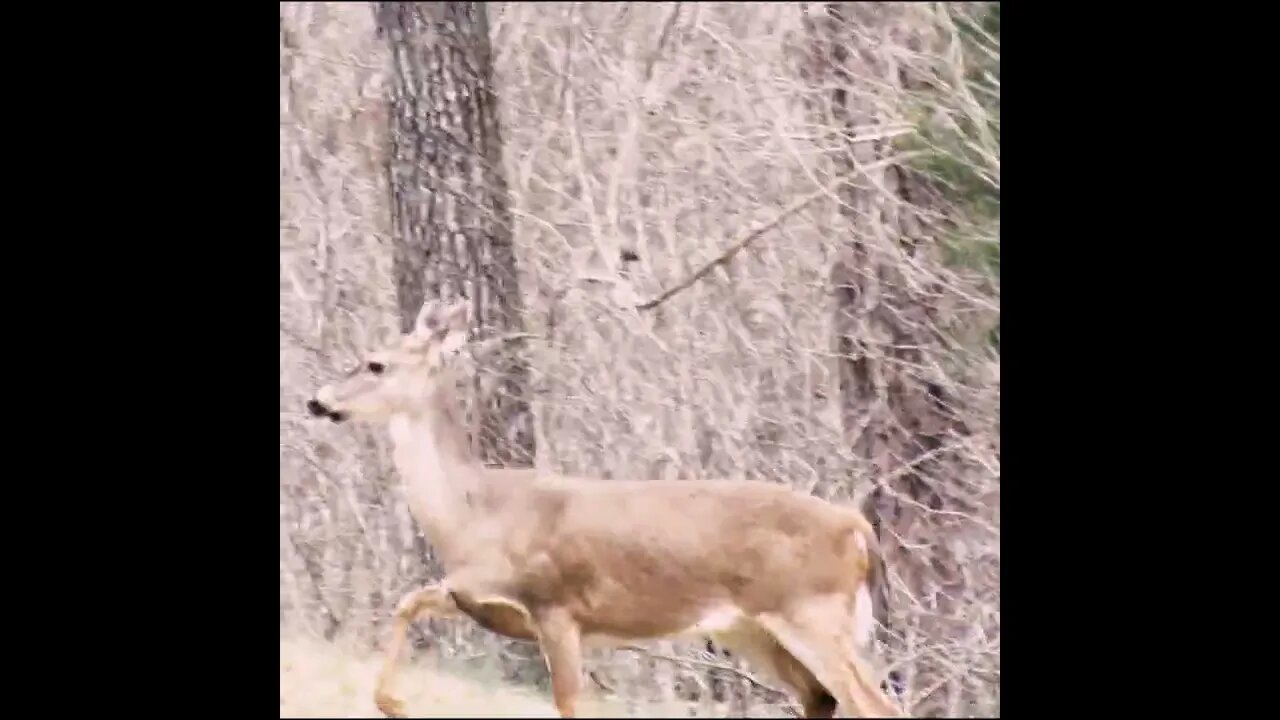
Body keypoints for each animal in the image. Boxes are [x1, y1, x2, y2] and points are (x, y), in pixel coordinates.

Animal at [306, 298, 904, 719]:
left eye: (375, 364)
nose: (316, 400)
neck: (475, 515)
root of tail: (857, 528)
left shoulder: (556, 606)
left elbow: (569, 702)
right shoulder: (476, 593)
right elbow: (407, 602)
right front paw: (393, 701)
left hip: (809, 609)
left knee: (874, 704)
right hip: (752, 628)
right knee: (821, 698)